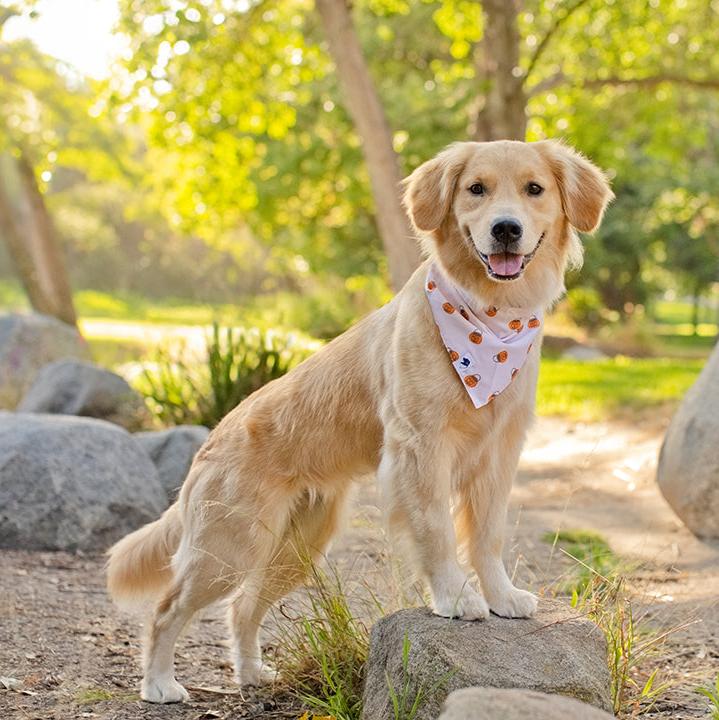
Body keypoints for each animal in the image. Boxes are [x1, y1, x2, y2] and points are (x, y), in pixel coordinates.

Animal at [107, 138, 612, 700]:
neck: (491, 319)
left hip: (298, 545)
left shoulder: (500, 452)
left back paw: (253, 674)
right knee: (166, 610)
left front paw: (501, 596)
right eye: (476, 189)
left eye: (534, 189)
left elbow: (488, 535)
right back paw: (159, 684)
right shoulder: (421, 447)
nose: (506, 228)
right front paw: (456, 597)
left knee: (242, 608)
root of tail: (207, 444)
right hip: (230, 545)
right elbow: (437, 529)